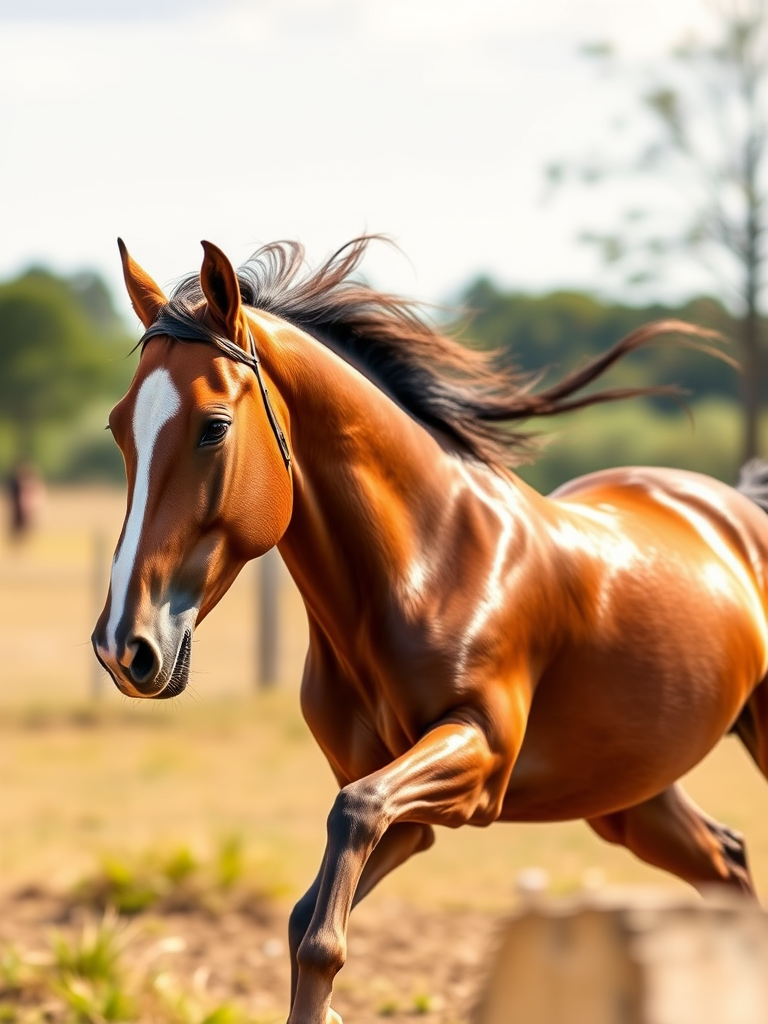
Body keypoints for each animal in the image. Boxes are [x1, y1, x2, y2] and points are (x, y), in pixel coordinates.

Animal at [93, 236, 768, 1024]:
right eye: (118, 426)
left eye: (214, 426)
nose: (123, 648)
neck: (429, 568)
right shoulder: (411, 817)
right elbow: (306, 915)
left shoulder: (478, 759)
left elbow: (342, 852)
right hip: (630, 797)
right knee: (727, 860)